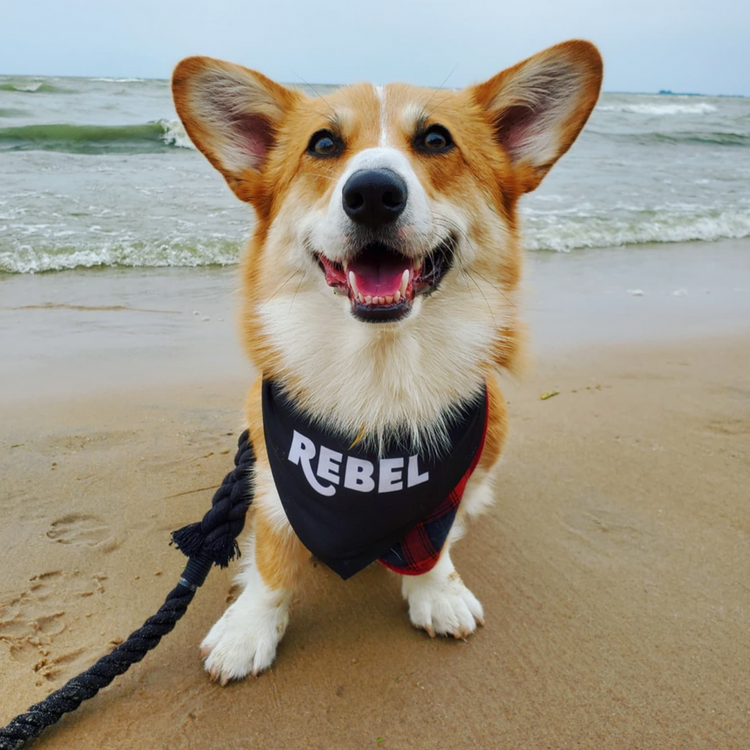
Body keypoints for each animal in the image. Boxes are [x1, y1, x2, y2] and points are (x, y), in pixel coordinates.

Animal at [172, 41, 604, 688]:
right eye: (324, 144)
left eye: (436, 140)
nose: (373, 193)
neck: (380, 369)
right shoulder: (276, 470)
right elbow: (272, 557)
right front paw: (249, 627)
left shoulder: (442, 489)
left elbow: (436, 537)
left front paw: (436, 589)